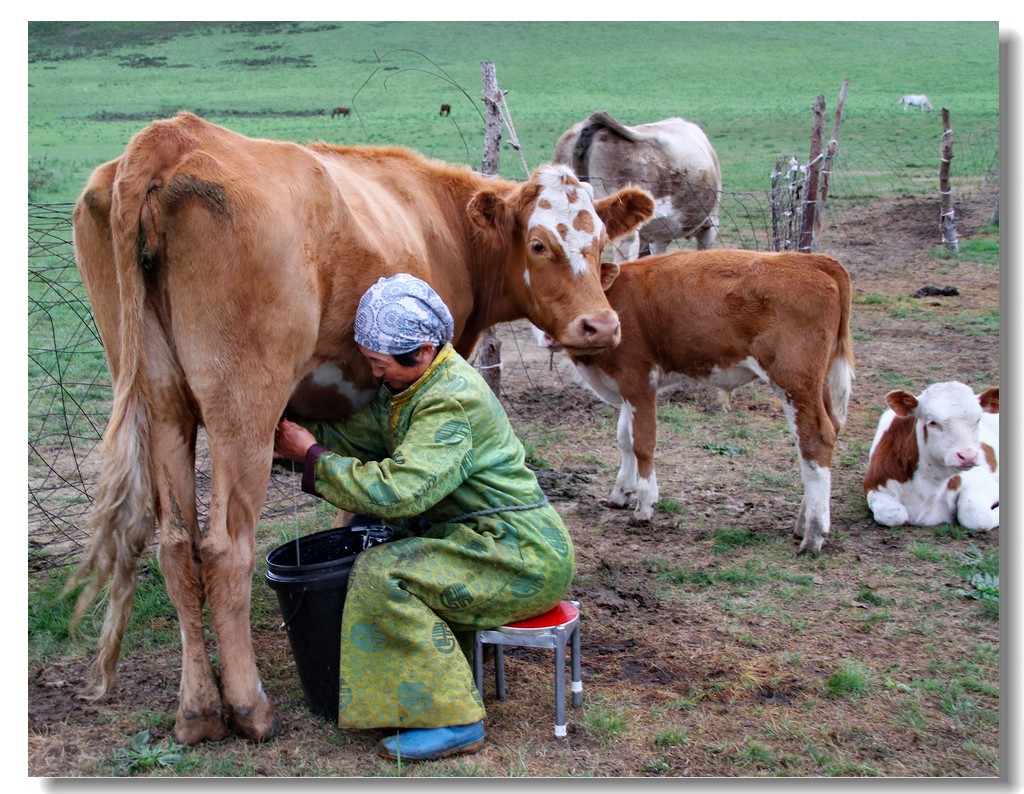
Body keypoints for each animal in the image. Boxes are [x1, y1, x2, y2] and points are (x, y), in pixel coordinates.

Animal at [68, 110, 655, 745]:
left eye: (600, 242)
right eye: (539, 243)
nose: (600, 326)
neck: (442, 218)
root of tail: (173, 137)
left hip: (161, 404)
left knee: (176, 549)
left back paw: (198, 711)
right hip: (241, 404)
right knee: (224, 550)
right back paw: (251, 709)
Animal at [536, 247, 856, 553]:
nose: (546, 338)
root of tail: (813, 261)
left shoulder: (638, 380)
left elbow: (642, 443)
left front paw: (644, 506)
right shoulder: (625, 387)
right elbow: (624, 439)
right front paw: (620, 494)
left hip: (794, 380)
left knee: (815, 440)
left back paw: (813, 534)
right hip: (821, 383)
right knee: (825, 437)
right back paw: (804, 522)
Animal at [864, 381, 999, 532]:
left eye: (978, 420)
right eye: (933, 422)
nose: (968, 456)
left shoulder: (985, 483)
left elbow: (976, 516)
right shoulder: (874, 486)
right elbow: (894, 514)